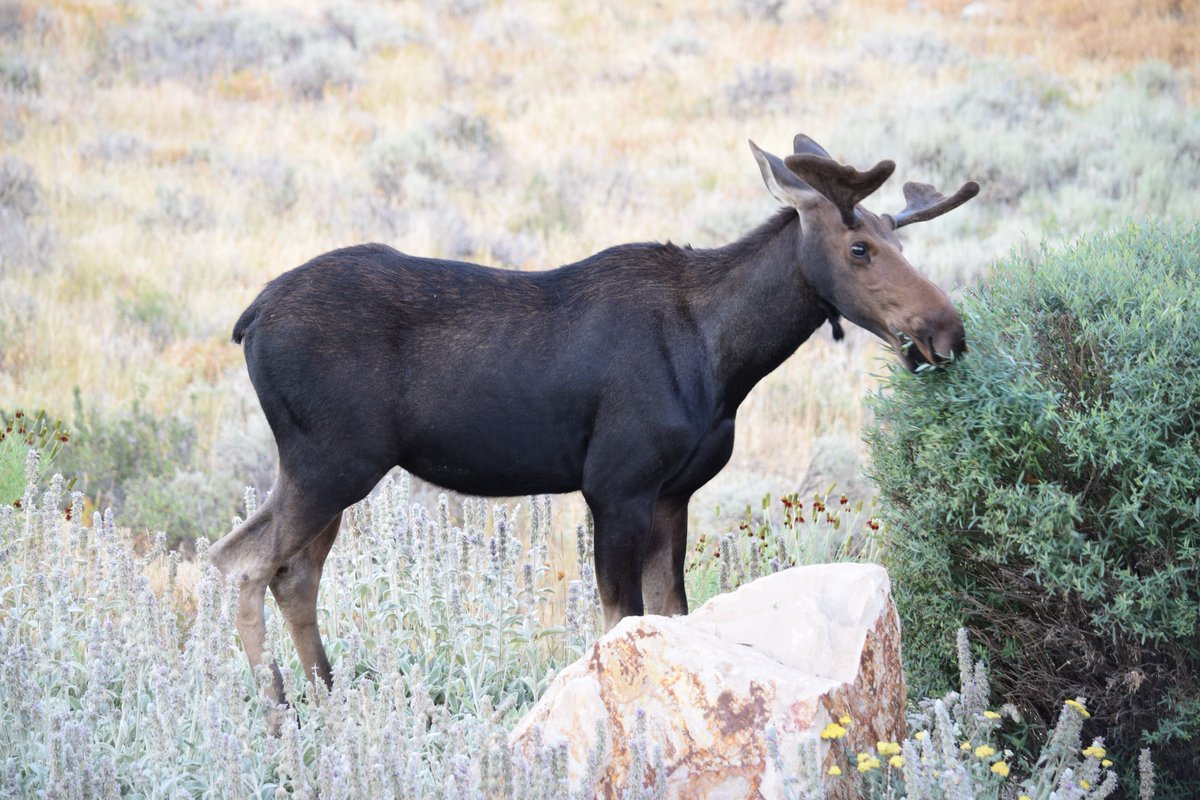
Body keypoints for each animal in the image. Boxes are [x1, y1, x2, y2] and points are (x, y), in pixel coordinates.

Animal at [210, 132, 979, 708]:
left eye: (901, 244)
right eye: (859, 249)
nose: (947, 331)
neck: (726, 360)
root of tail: (249, 319)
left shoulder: (673, 493)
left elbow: (671, 616)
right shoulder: (616, 485)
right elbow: (621, 622)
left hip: (325, 470)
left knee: (289, 572)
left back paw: (326, 697)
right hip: (330, 462)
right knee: (243, 561)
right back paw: (276, 708)